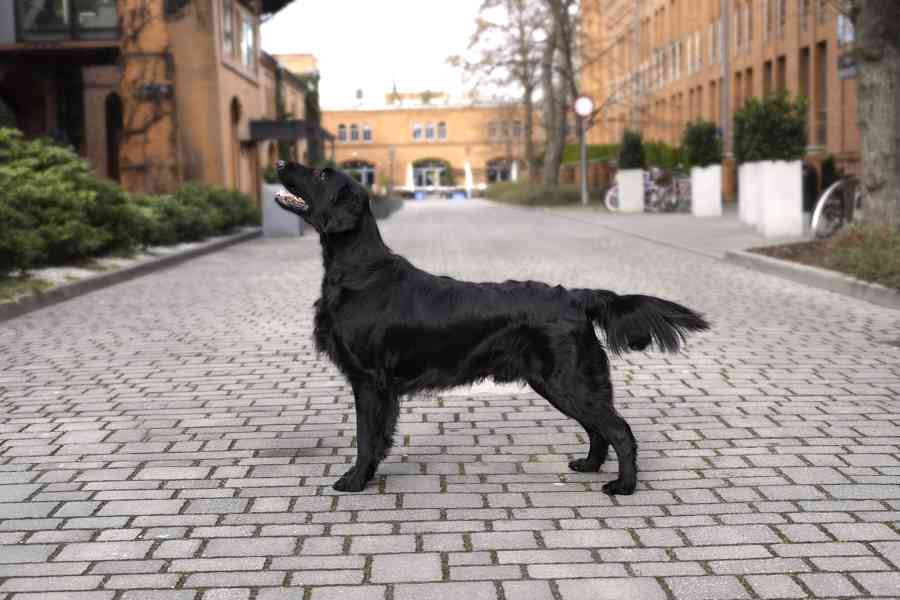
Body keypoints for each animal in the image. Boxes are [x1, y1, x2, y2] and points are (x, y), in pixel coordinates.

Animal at [274, 162, 712, 494]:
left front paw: (354, 481)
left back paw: (624, 485)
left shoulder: (368, 381)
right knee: (598, 429)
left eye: (321, 173)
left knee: (619, 430)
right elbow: (377, 438)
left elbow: (367, 438)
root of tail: (574, 297)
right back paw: (589, 465)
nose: (279, 162)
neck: (359, 270)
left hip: (568, 380)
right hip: (559, 382)